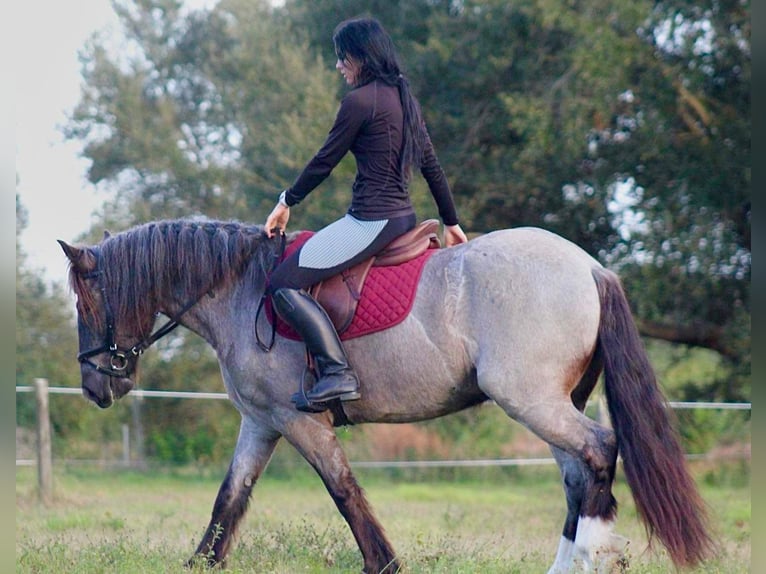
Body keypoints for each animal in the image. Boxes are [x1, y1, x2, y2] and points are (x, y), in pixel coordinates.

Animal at [58, 218, 712, 572]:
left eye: (86, 304)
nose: (96, 386)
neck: (240, 291)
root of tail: (589, 268)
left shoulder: (299, 421)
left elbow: (344, 492)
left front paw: (386, 564)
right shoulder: (261, 422)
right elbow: (229, 500)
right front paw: (200, 564)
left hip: (532, 401)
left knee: (599, 452)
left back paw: (595, 558)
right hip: (552, 404)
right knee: (578, 475)